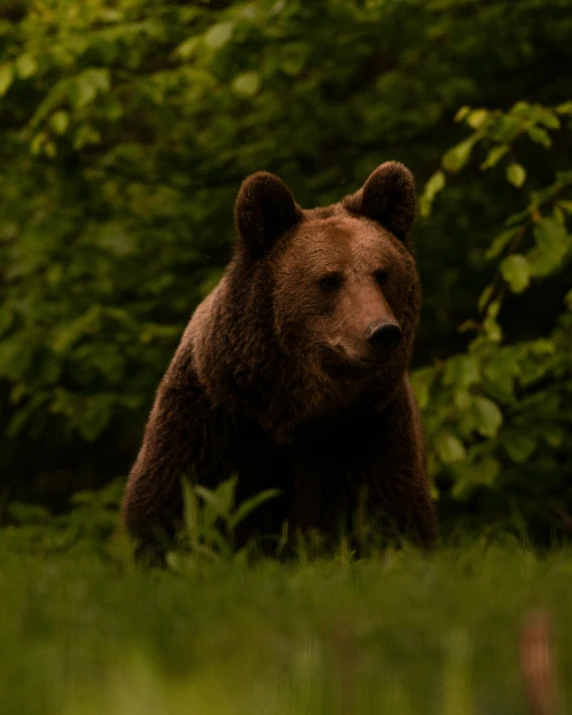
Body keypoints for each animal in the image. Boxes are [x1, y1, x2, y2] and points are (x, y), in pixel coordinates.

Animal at [122, 162, 438, 560]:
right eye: (329, 280)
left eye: (382, 274)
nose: (382, 332)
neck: (294, 412)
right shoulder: (212, 421)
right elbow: (171, 507)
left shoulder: (369, 430)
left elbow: (393, 516)